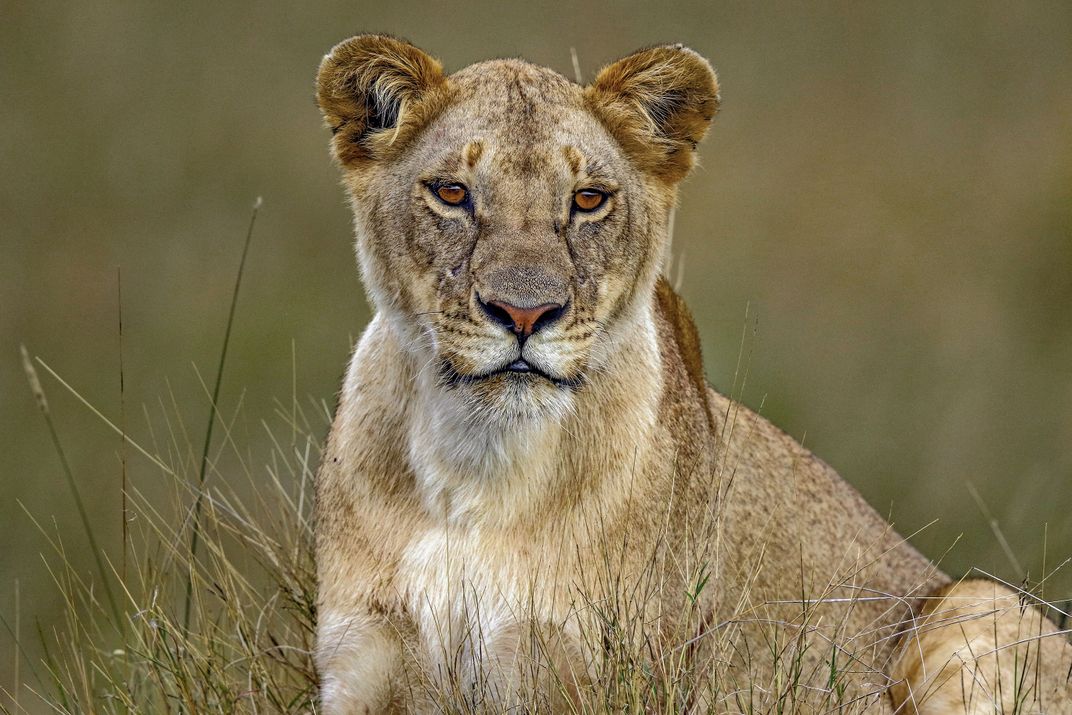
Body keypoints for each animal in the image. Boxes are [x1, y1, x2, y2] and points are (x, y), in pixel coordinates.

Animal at [313, 35, 1072, 713]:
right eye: (451, 192)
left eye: (588, 200)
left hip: (971, 601)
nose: (525, 313)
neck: (475, 467)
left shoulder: (608, 677)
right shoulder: (360, 666)